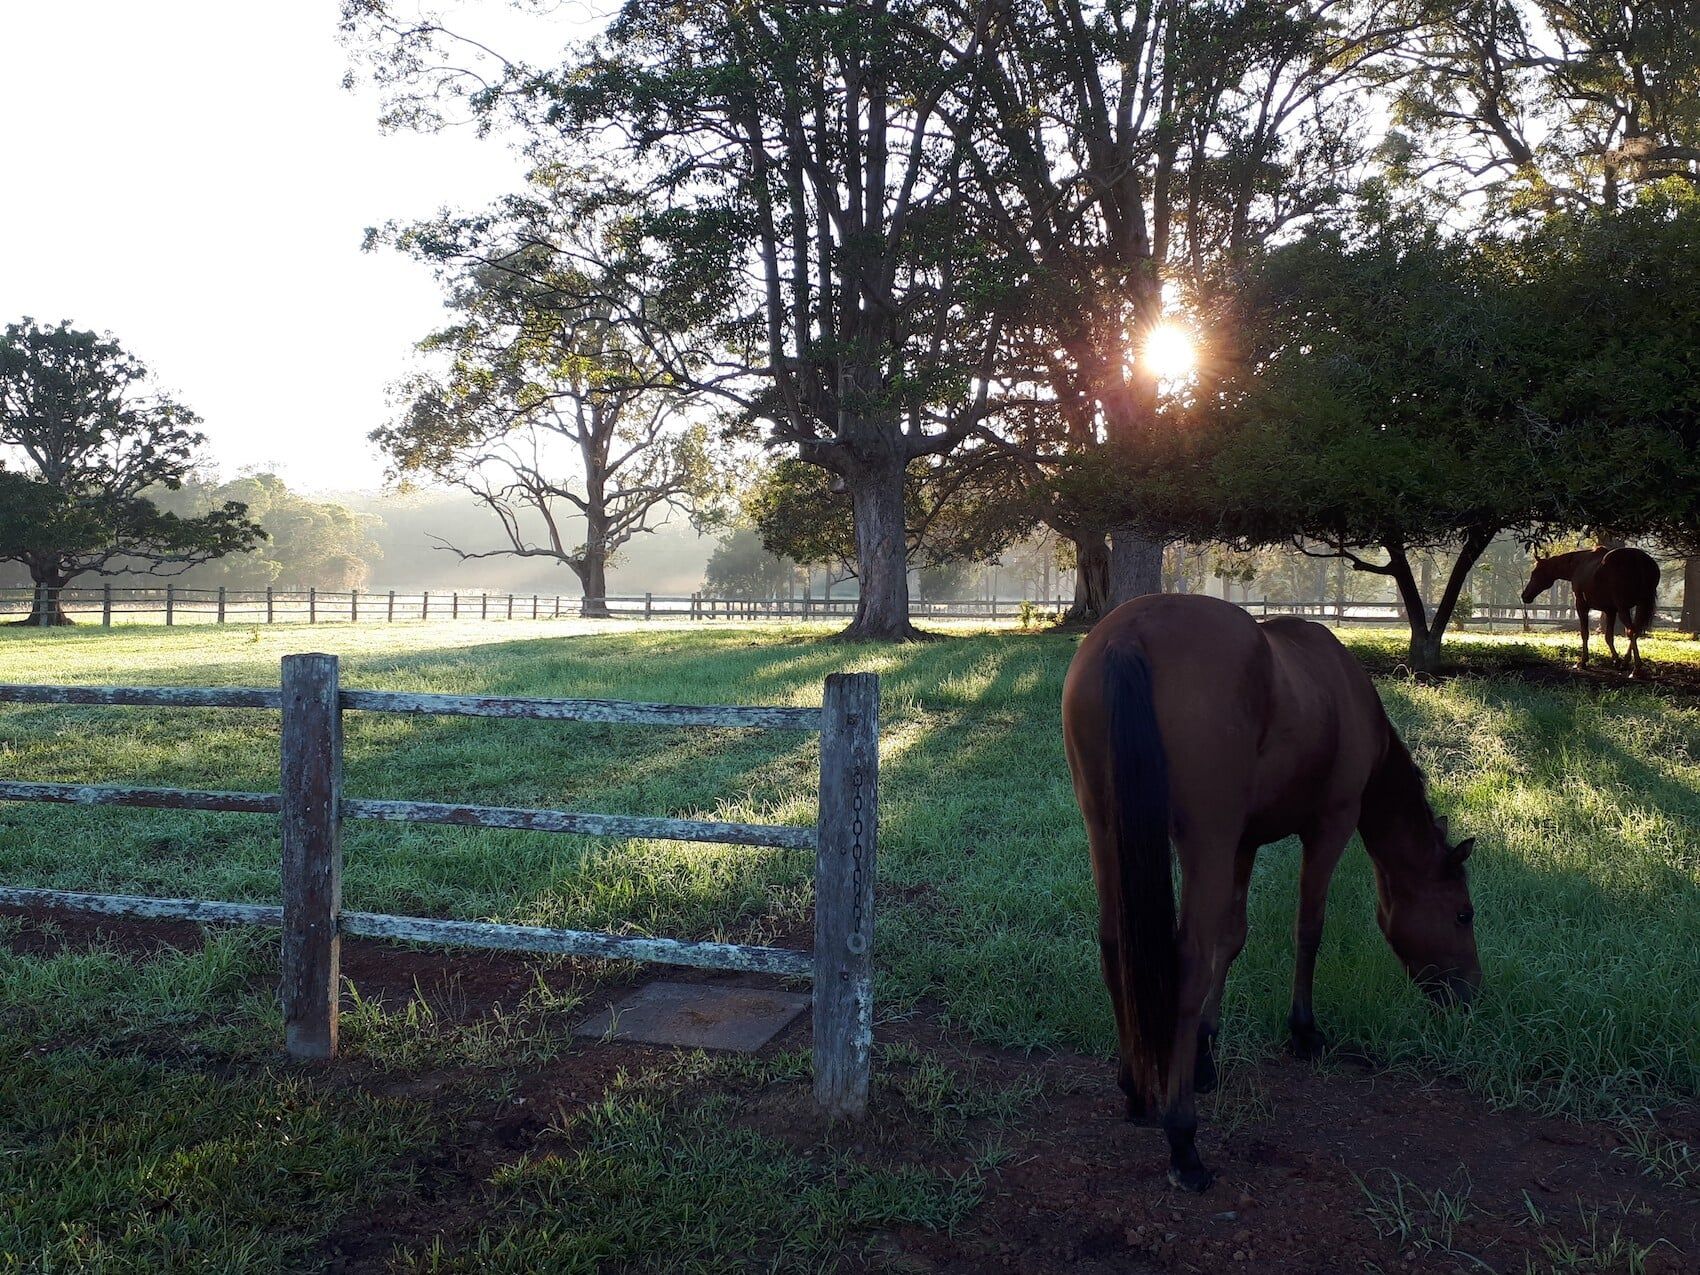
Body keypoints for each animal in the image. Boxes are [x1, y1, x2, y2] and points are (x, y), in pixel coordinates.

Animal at [1062, 594, 1481, 1192]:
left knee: (1115, 944)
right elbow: (1308, 929)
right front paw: (1303, 1032)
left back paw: (1137, 1091)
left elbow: (1231, 940)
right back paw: (1183, 1140)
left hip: (1106, 827)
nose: (1470, 994)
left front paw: (1205, 1051)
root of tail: (1130, 634)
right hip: (1204, 840)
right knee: (1187, 959)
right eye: (1463, 915)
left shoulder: (1244, 842)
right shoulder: (1328, 827)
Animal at [1521, 546, 1660, 677]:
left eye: (1535, 572)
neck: (1577, 564)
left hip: (1624, 608)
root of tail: (1639, 559)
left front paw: (1582, 661)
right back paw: (1626, 662)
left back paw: (1636, 669)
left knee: (1631, 632)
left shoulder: (1582, 605)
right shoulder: (1610, 610)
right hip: (1640, 605)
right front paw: (1617, 661)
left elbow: (1585, 633)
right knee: (1635, 631)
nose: (1524, 596)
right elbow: (1608, 637)